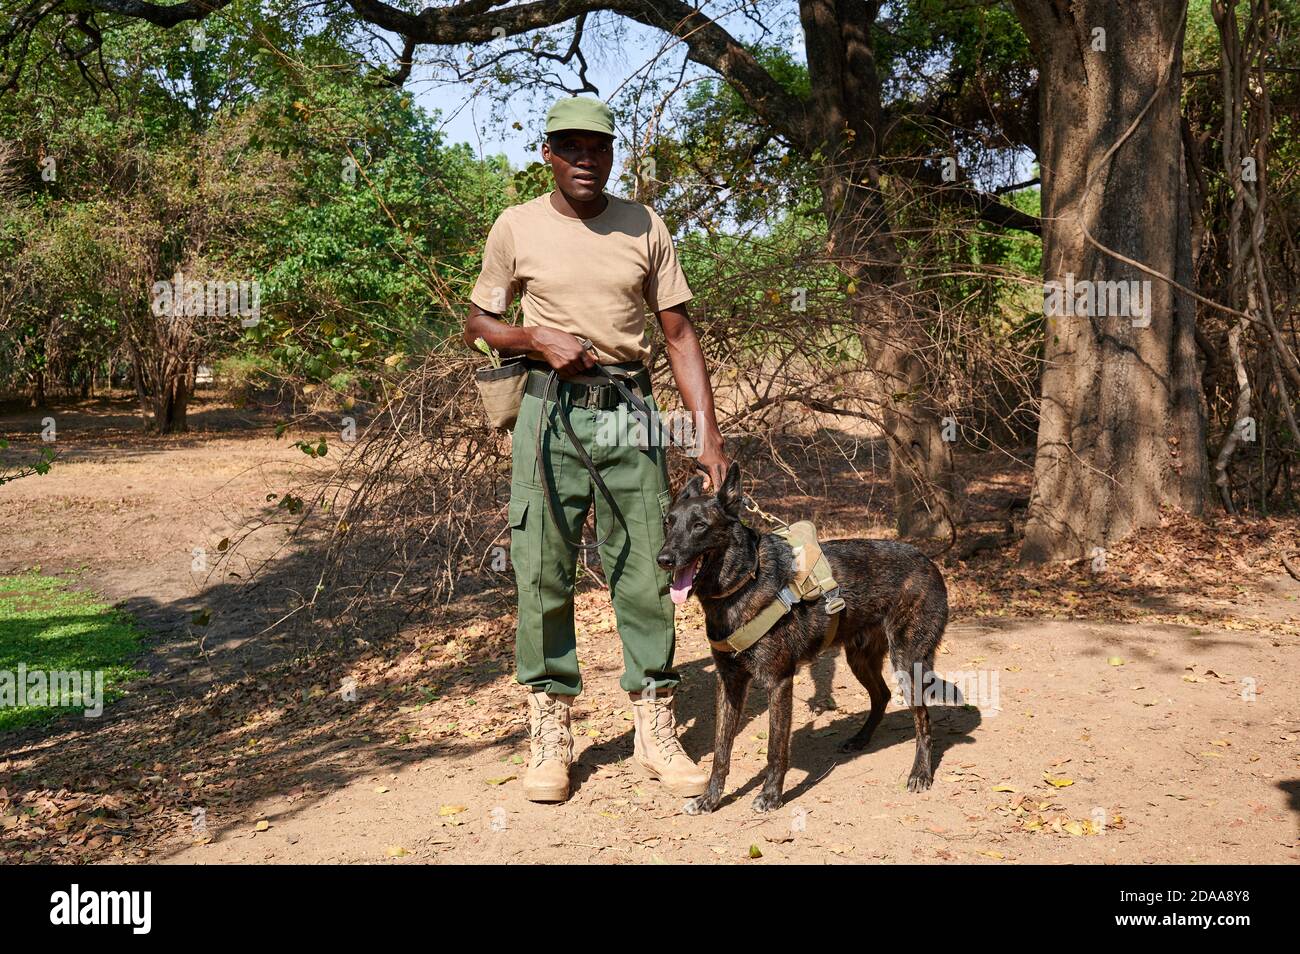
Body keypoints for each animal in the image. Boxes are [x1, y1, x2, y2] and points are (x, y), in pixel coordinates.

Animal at [660, 462, 946, 816]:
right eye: (668, 523)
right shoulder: (729, 682)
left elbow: (775, 748)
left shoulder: (779, 681)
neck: (744, 580)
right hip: (859, 659)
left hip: (907, 663)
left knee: (924, 721)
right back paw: (860, 739)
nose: (663, 559)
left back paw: (920, 773)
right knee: (881, 695)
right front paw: (710, 799)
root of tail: (930, 562)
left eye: (699, 526)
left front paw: (771, 795)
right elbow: (721, 750)